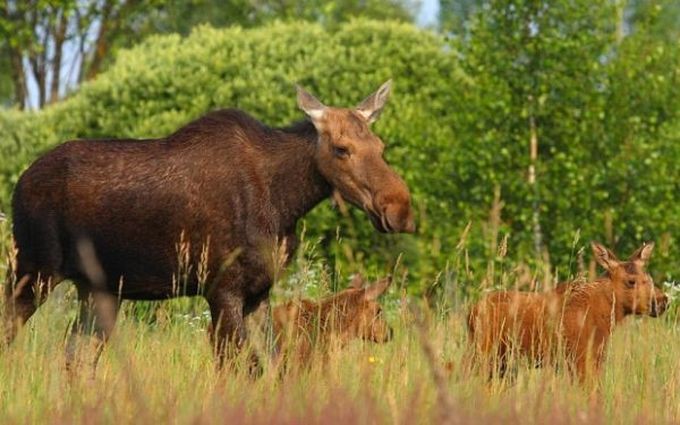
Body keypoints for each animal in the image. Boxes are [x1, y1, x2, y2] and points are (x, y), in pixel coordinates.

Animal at [2, 80, 414, 372]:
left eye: (380, 146)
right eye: (341, 148)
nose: (399, 208)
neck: (285, 202)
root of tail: (20, 182)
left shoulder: (259, 292)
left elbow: (273, 366)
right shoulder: (222, 288)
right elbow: (241, 368)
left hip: (98, 288)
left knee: (77, 356)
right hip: (33, 271)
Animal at [470, 242, 668, 384]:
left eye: (648, 277)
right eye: (631, 281)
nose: (662, 301)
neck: (604, 316)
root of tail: (471, 311)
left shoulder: (595, 358)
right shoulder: (579, 357)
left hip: (500, 360)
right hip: (483, 351)